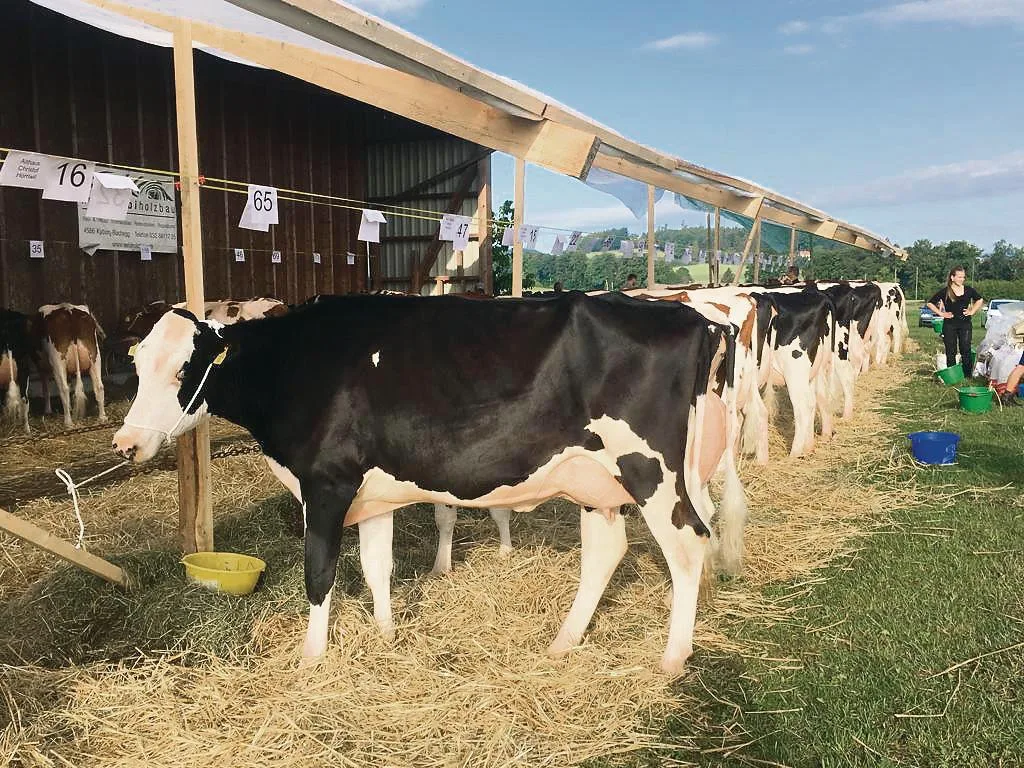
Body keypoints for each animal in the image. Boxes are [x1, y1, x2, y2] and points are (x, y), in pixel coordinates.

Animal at [113, 292, 742, 675]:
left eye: (185, 369)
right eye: (138, 365)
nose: (126, 443)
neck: (295, 366)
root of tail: (697, 317)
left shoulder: (326, 484)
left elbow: (319, 575)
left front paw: (311, 657)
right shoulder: (372, 494)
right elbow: (377, 567)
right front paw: (387, 636)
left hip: (650, 469)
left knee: (690, 545)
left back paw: (672, 659)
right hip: (597, 481)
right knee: (607, 552)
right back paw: (563, 642)